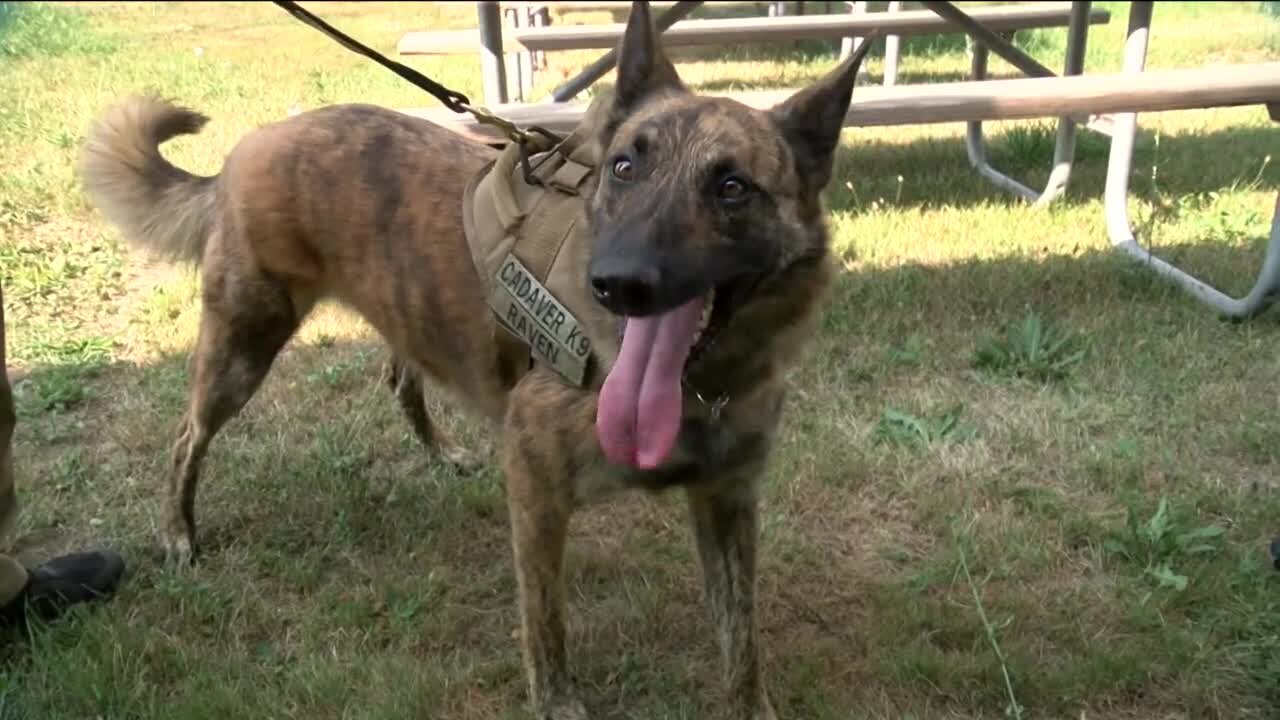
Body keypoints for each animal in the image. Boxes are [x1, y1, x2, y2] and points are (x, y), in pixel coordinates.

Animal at [77, 2, 880, 712]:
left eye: (732, 187)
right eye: (624, 168)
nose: (615, 283)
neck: (699, 386)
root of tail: (250, 146)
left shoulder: (726, 503)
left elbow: (741, 642)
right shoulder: (536, 487)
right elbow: (545, 622)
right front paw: (558, 705)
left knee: (398, 376)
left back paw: (441, 452)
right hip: (242, 347)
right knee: (188, 436)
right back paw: (179, 533)